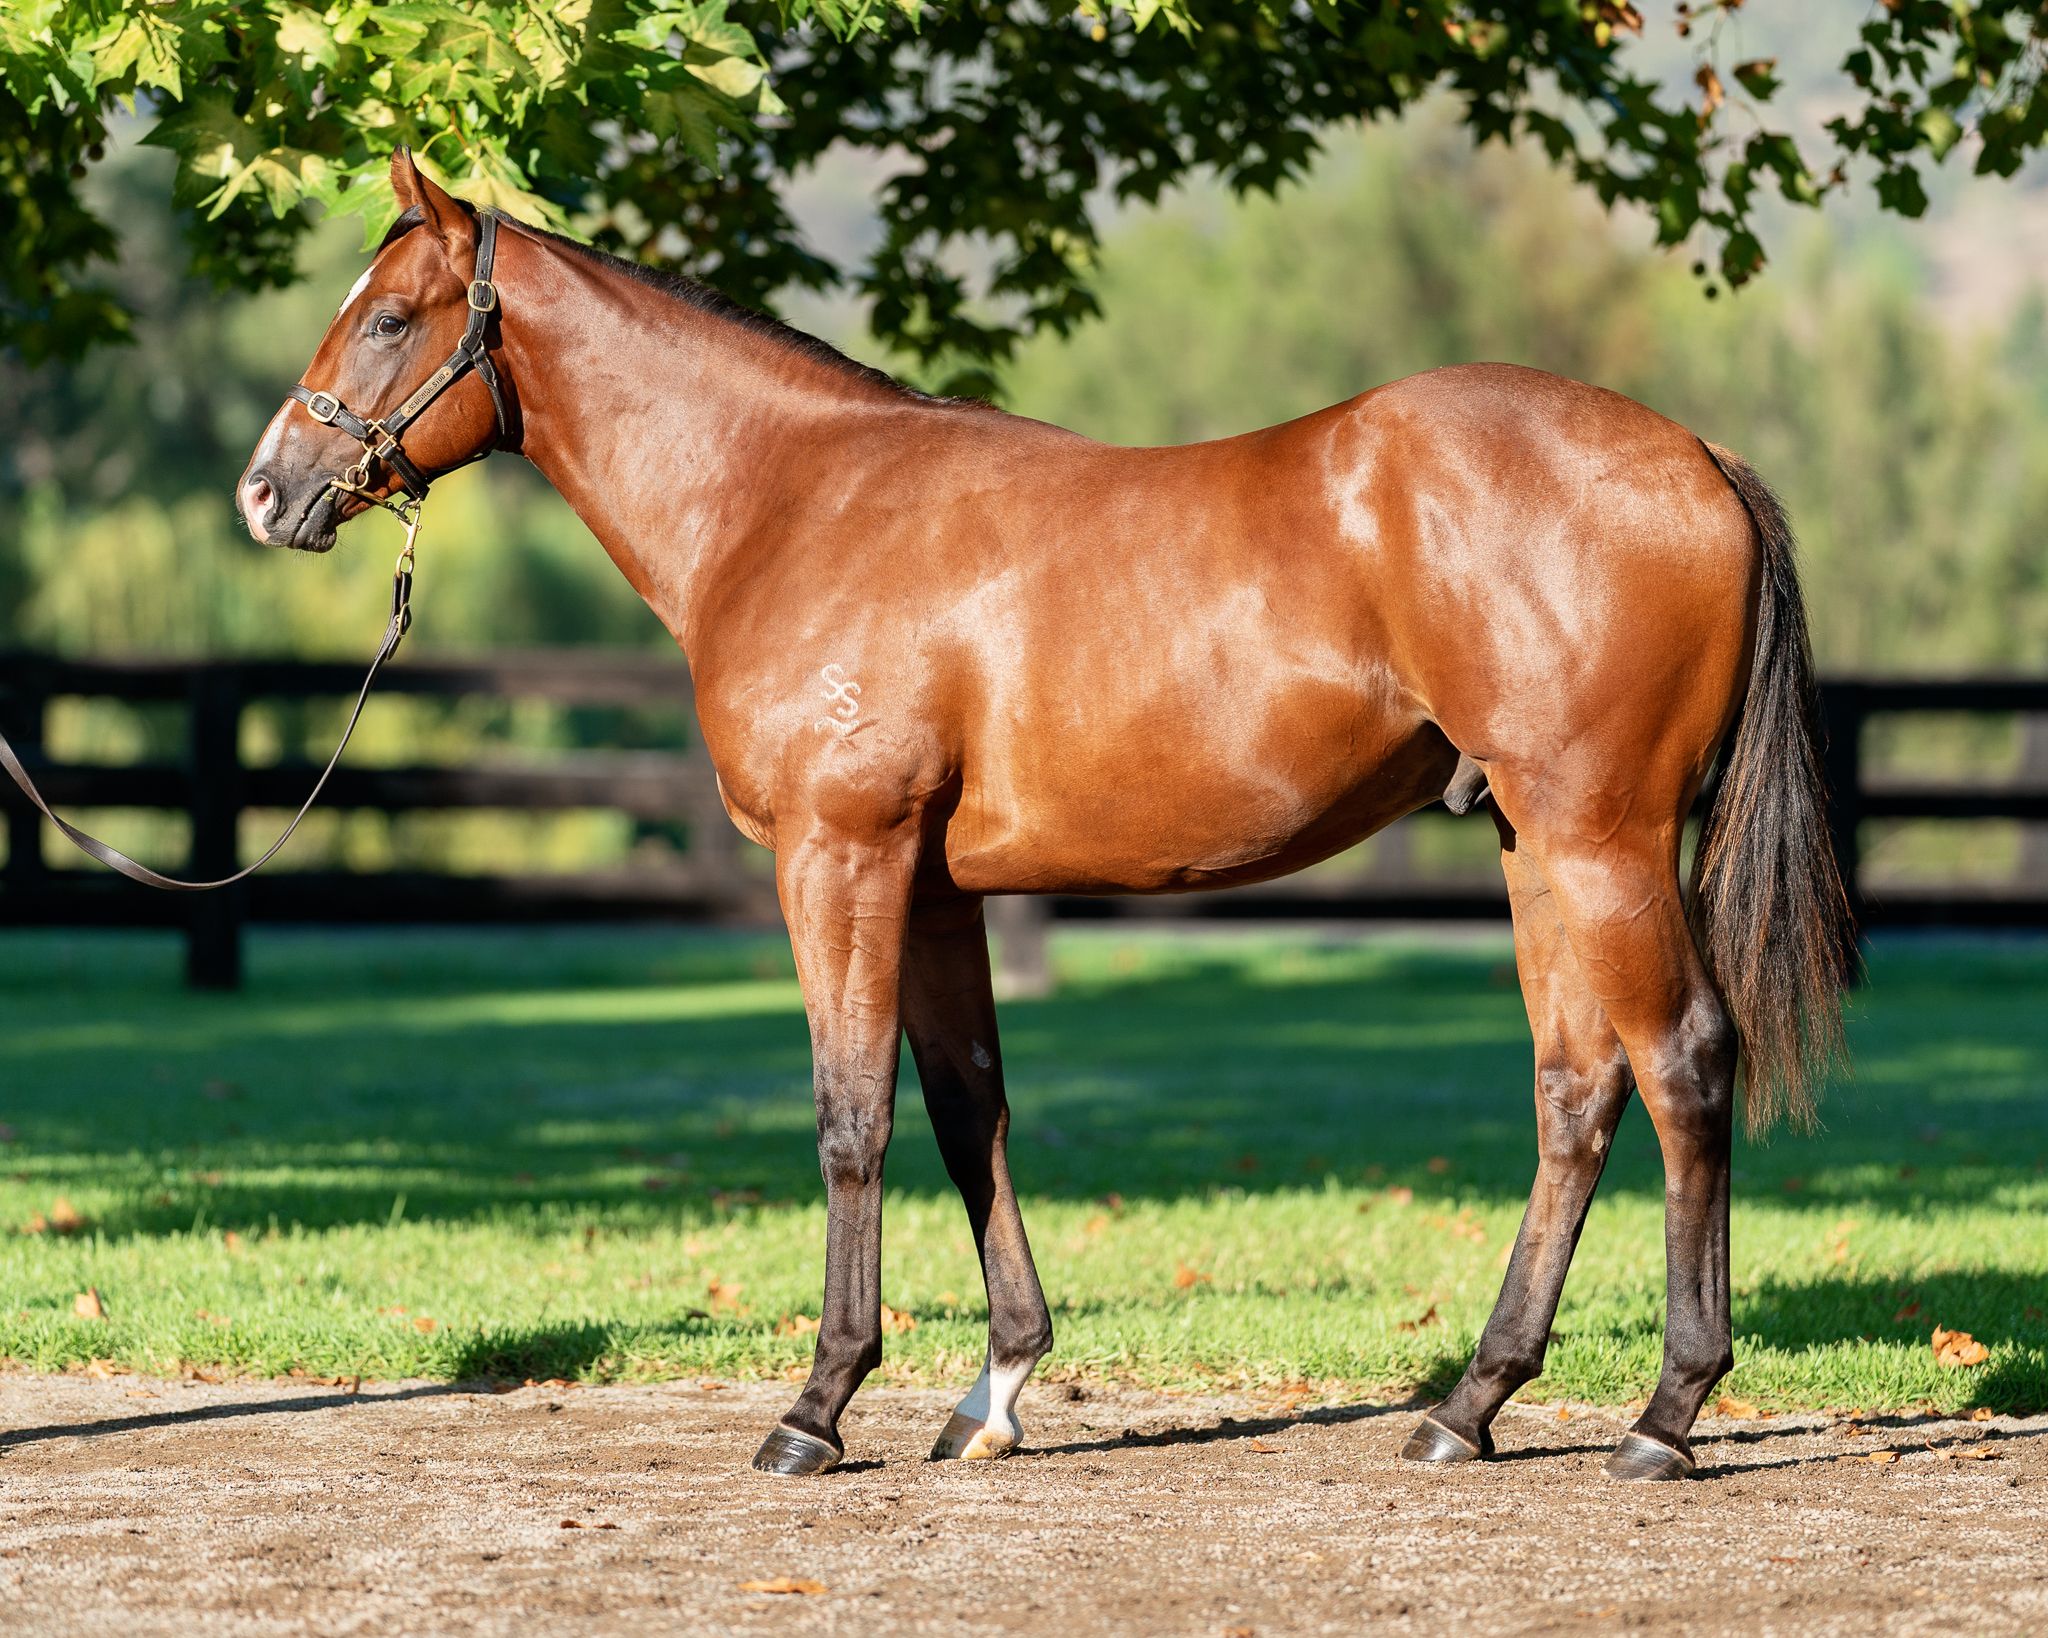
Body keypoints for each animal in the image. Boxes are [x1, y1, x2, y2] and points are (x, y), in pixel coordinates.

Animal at [239, 153, 1859, 1482]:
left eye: (389, 319)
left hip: (1603, 841)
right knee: (1577, 1090)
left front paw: (817, 1407)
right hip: (1537, 845)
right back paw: (1467, 1407)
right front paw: (996, 1386)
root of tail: (1695, 461)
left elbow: (851, 1117)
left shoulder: (843, 857)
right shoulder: (935, 884)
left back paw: (1664, 1417)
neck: (792, 499)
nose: (266, 492)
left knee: (1684, 1063)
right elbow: (970, 1108)